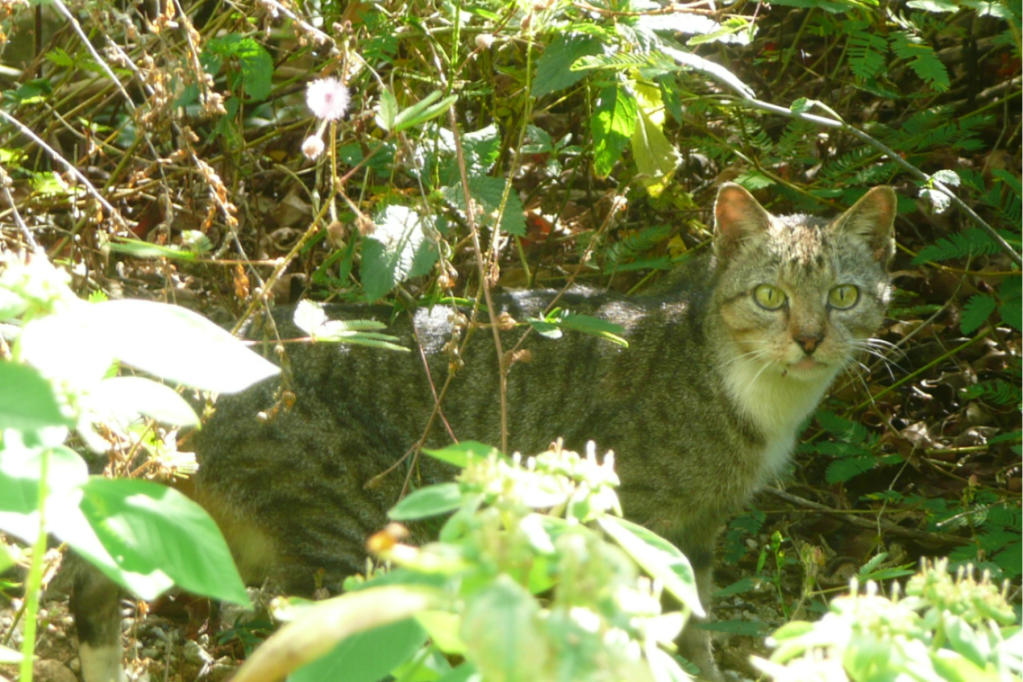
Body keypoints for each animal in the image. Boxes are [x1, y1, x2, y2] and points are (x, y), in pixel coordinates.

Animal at [74, 183, 896, 682]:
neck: (759, 397)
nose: (810, 339)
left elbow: (690, 619)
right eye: (769, 297)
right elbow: (640, 622)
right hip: (354, 529)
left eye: (844, 296)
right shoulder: (633, 516)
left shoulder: (695, 532)